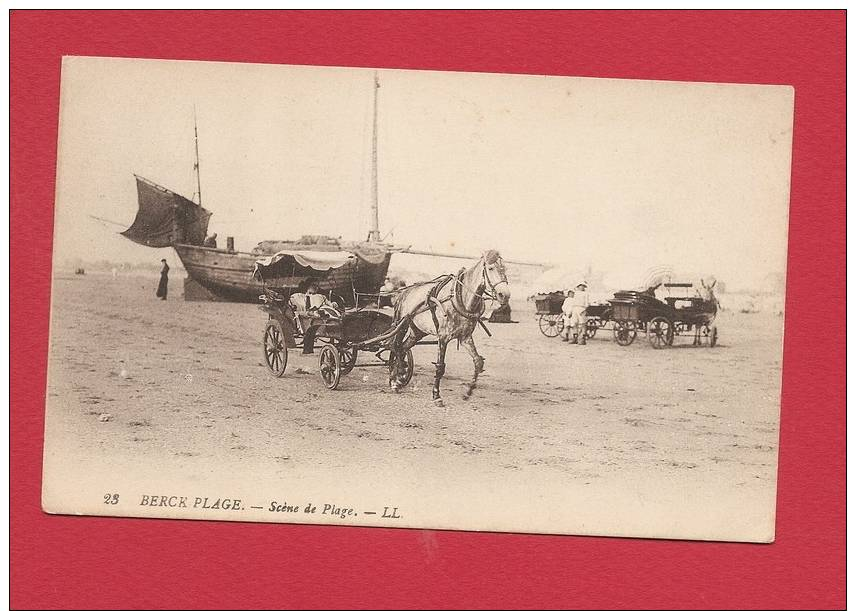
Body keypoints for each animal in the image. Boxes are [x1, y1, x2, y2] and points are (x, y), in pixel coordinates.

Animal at [390, 251, 516, 404]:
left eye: (505, 269)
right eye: (491, 268)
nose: (505, 295)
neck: (459, 299)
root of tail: (404, 292)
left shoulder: (465, 337)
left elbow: (478, 362)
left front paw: (468, 391)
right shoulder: (443, 337)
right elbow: (440, 367)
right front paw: (436, 395)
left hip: (417, 331)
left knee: (403, 348)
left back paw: (398, 378)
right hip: (402, 325)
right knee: (396, 347)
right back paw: (397, 378)